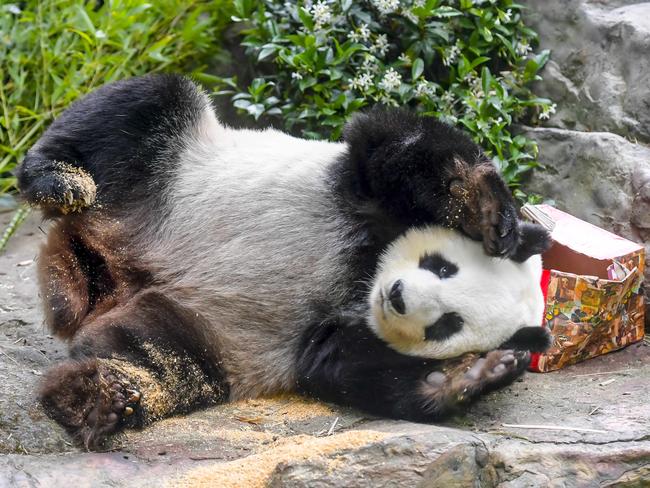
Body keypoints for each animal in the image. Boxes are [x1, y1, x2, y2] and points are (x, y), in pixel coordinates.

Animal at [16, 74, 548, 448]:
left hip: (210, 330)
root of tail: (104, 257)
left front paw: (470, 375)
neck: (364, 270)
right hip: (172, 162)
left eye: (447, 324)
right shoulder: (363, 192)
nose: (397, 298)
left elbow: (344, 369)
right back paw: (60, 180)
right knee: (140, 110)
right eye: (442, 266)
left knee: (154, 355)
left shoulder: (325, 331)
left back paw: (100, 398)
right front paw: (489, 212)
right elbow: (392, 146)